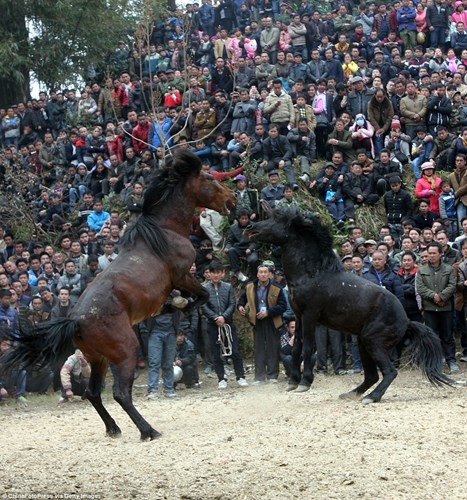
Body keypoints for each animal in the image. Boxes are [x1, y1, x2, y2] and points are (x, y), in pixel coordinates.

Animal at [5, 150, 236, 440]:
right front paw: (180, 304)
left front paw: (172, 306)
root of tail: (75, 321)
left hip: (98, 359)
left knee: (93, 393)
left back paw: (113, 428)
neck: (166, 229)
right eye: (209, 178)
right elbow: (202, 296)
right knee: (120, 394)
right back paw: (148, 430)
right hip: (125, 352)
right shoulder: (183, 276)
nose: (232, 197)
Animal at [249, 207, 454, 406]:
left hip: (373, 342)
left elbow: (307, 347)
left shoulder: (310, 316)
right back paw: (352, 394)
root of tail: (407, 322)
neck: (312, 274)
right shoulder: (299, 316)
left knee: (390, 372)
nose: (251, 229)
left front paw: (304, 383)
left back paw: (371, 397)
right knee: (372, 376)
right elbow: (296, 349)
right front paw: (292, 382)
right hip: (364, 343)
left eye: (278, 219)